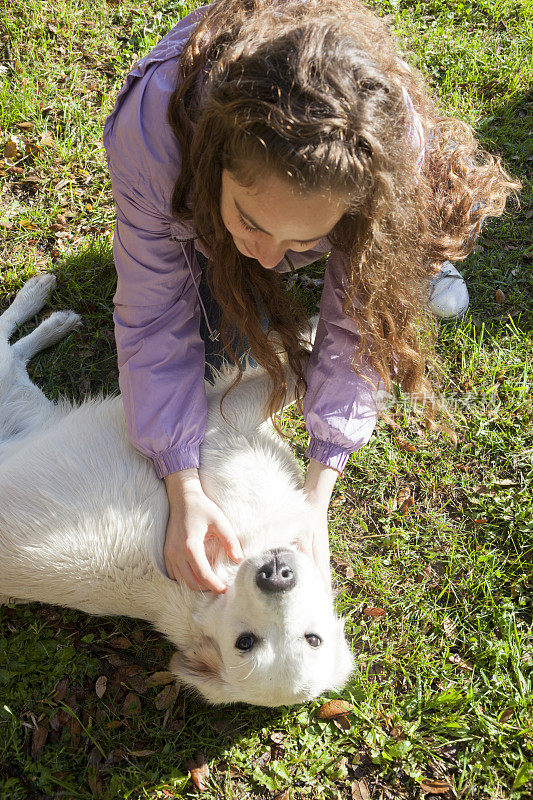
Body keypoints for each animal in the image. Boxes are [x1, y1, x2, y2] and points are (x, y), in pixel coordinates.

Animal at [0, 276, 354, 708]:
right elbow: (299, 364)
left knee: (14, 350)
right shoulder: (224, 416)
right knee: (6, 337)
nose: (275, 575)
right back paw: (44, 301)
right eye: (246, 642)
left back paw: (54, 318)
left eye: (312, 639)